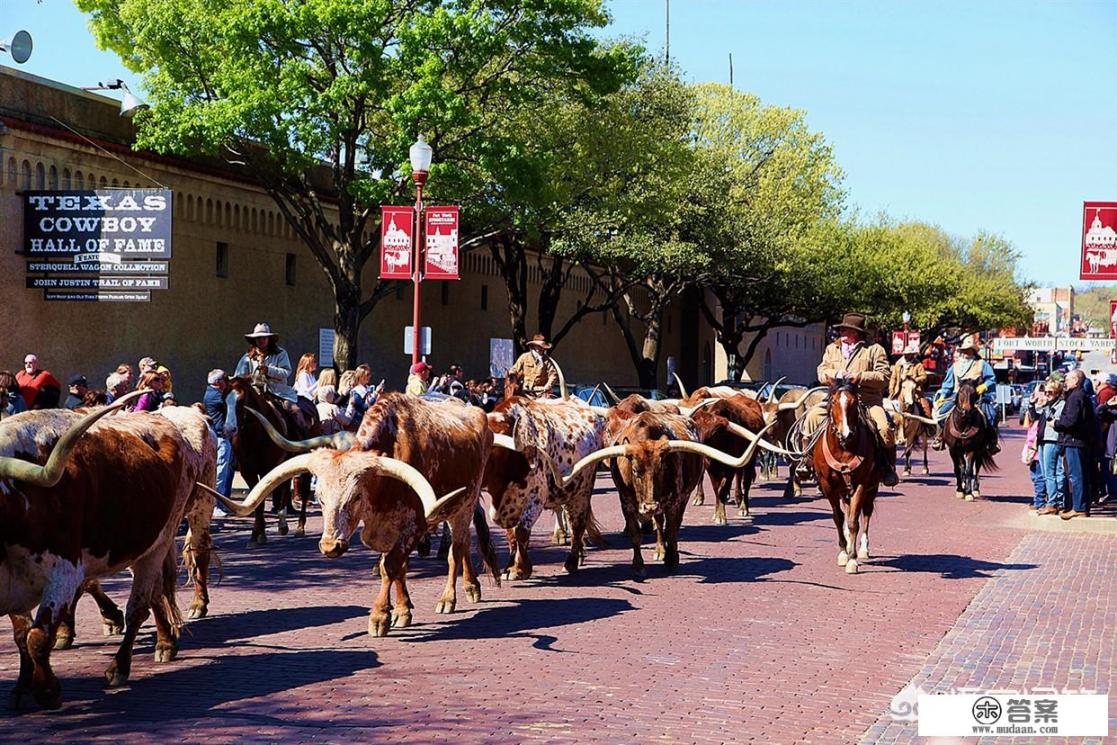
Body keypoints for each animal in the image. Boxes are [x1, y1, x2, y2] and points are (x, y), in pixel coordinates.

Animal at [226, 379, 321, 542]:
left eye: (241, 401)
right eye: (224, 400)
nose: (229, 429)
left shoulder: (266, 469)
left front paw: (260, 534)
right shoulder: (247, 471)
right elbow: (256, 499)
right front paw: (256, 534)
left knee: (304, 489)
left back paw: (299, 527)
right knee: (285, 485)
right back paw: (283, 523)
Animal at [813, 384, 880, 576]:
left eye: (854, 401)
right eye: (834, 401)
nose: (847, 434)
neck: (843, 448)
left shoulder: (862, 484)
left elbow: (853, 522)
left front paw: (852, 559)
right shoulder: (828, 486)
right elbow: (838, 517)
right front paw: (844, 552)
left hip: (871, 488)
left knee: (866, 513)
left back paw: (863, 549)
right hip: (843, 490)